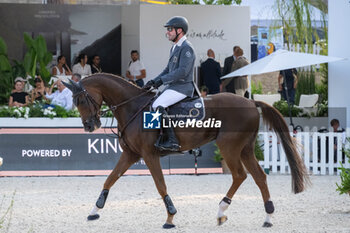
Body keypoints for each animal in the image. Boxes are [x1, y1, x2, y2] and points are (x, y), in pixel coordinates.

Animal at [63, 73, 308, 228]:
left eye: (81, 100)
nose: (89, 126)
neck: (133, 107)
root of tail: (251, 102)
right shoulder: (131, 154)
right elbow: (110, 179)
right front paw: (95, 210)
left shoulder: (149, 155)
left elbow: (160, 185)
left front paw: (170, 218)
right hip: (245, 149)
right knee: (259, 176)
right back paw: (267, 217)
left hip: (229, 147)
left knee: (240, 175)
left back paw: (222, 211)